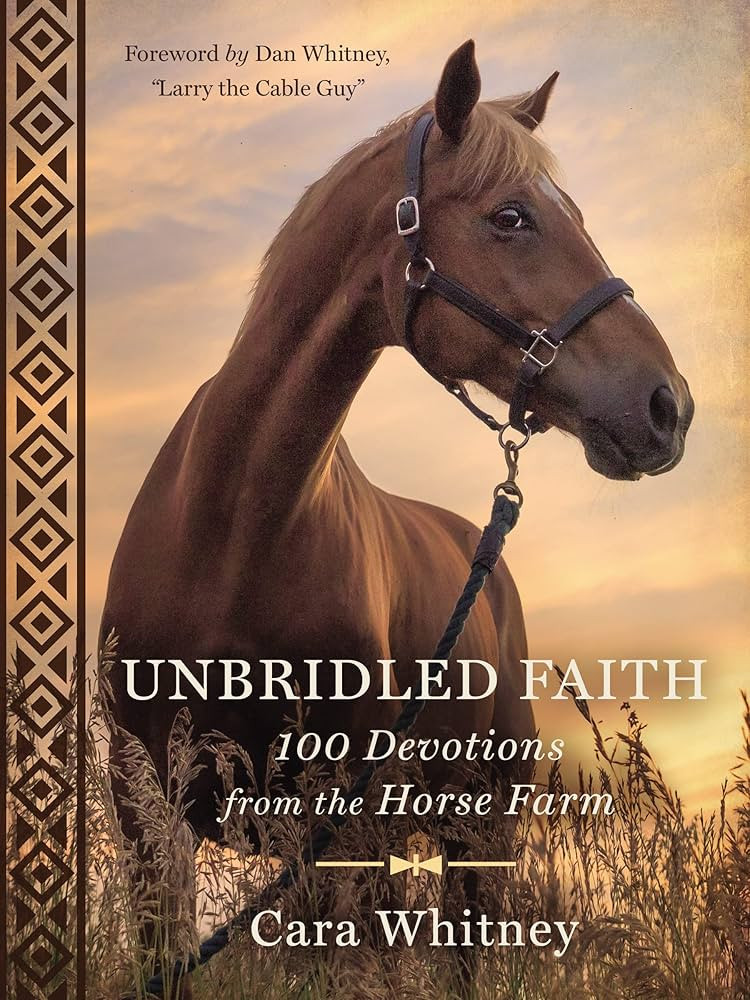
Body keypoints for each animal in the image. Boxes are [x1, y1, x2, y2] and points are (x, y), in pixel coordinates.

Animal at [101, 39, 693, 997]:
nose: (669, 404)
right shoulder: (150, 819)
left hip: (476, 835)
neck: (228, 528)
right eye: (512, 216)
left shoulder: (336, 828)